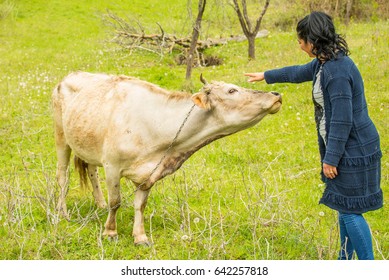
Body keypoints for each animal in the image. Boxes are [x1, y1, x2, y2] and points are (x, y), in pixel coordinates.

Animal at [52, 72, 282, 245]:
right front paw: (110, 232)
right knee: (63, 177)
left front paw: (140, 237)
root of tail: (71, 75)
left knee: (91, 170)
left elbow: (140, 205)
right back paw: (63, 213)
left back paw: (99, 204)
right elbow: (116, 202)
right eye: (232, 90)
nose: (276, 94)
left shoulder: (150, 173)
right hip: (61, 137)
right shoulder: (112, 166)